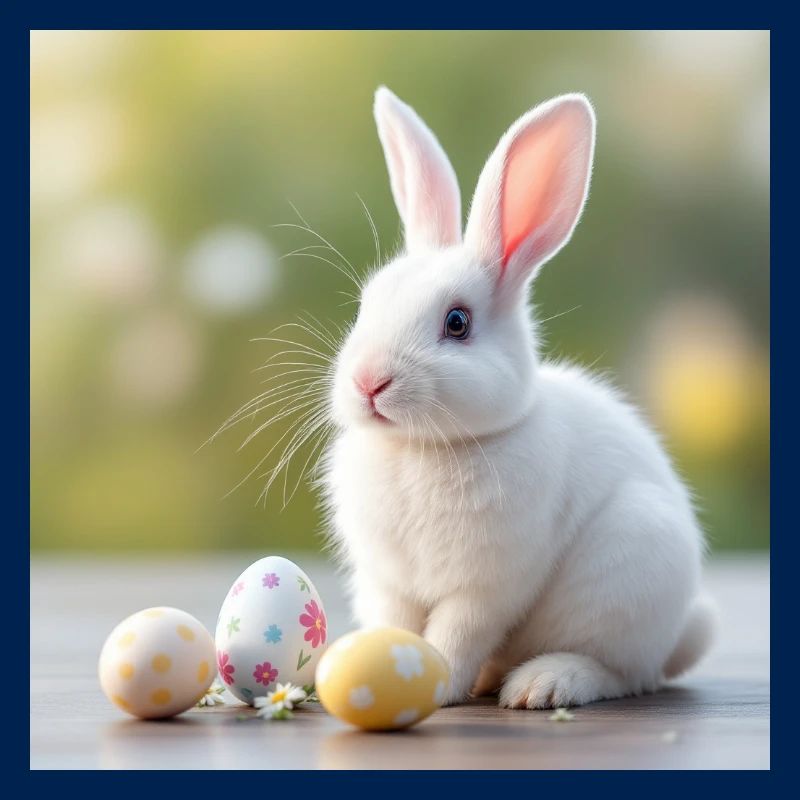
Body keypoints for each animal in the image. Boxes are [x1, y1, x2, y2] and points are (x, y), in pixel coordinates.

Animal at [321, 86, 716, 708]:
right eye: (366, 305)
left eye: (457, 323)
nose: (368, 383)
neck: (421, 448)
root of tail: (680, 631)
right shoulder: (388, 583)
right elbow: (396, 624)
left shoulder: (486, 588)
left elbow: (456, 635)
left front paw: (438, 683)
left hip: (627, 573)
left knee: (624, 673)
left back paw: (543, 685)